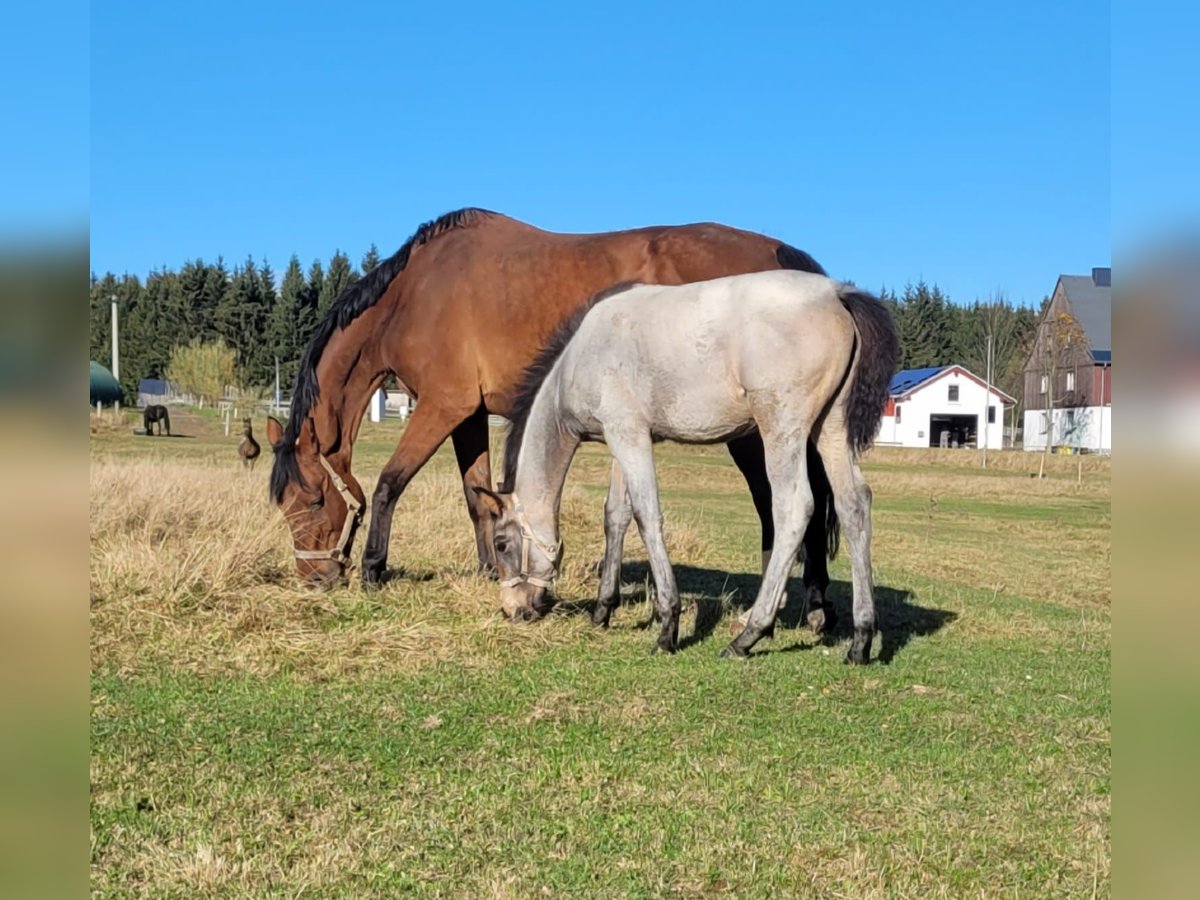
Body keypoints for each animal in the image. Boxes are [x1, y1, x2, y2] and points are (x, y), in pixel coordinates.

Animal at [270, 207, 835, 624]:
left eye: (313, 499)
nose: (313, 579)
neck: (414, 294)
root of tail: (779, 255)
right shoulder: (469, 415)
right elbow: (478, 497)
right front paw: (489, 569)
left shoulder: (443, 405)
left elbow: (390, 482)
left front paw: (373, 568)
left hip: (752, 429)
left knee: (779, 504)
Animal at [477, 271, 902, 667]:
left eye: (502, 543)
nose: (512, 609)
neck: (579, 358)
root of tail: (837, 294)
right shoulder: (625, 440)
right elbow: (615, 517)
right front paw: (602, 610)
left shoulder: (627, 435)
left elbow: (646, 516)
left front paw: (668, 626)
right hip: (830, 429)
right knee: (854, 506)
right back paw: (861, 640)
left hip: (782, 431)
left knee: (794, 510)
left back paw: (750, 634)